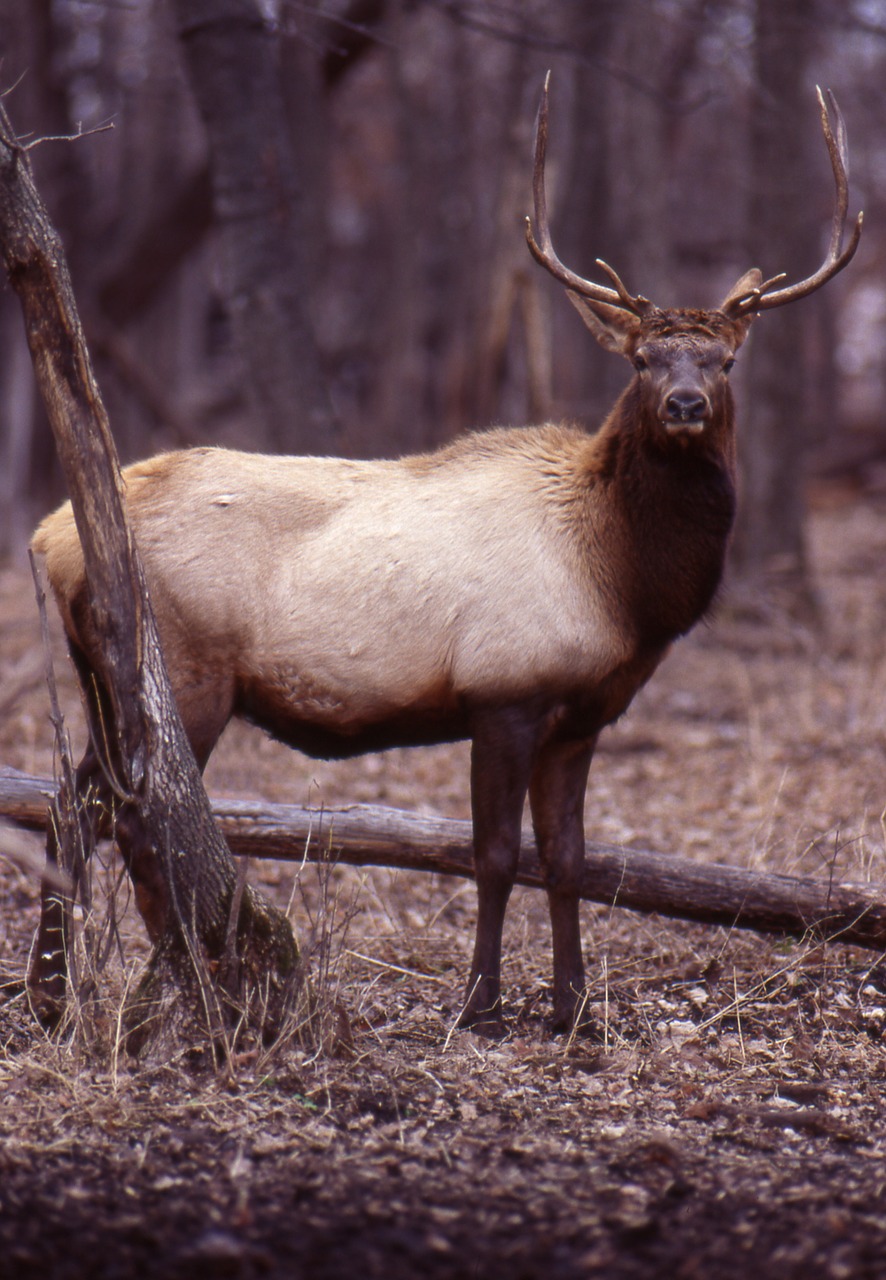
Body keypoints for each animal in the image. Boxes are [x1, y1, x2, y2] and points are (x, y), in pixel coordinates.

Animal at [27, 80, 860, 1034]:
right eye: (644, 359)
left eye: (723, 362)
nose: (685, 405)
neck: (621, 582)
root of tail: (51, 535)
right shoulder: (504, 692)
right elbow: (492, 854)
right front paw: (481, 1004)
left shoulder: (582, 718)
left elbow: (569, 859)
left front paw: (573, 1006)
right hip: (181, 676)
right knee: (130, 821)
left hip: (103, 684)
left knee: (68, 807)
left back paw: (51, 995)